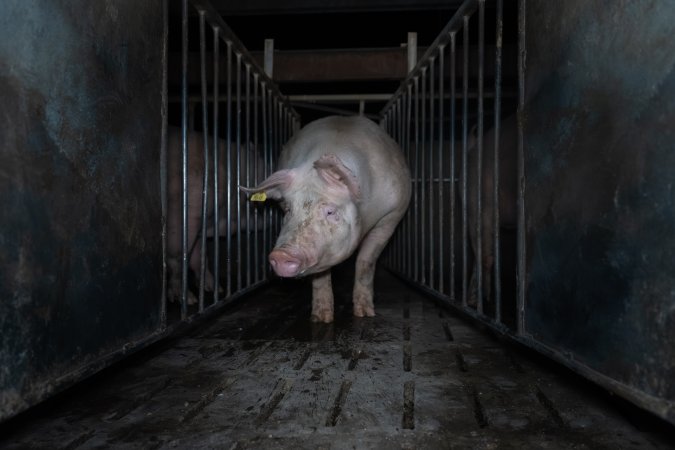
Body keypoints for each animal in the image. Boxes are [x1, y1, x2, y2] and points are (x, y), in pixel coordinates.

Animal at [241, 115, 412, 323]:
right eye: (288, 209)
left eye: (330, 212)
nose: (281, 255)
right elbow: (321, 274)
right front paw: (321, 319)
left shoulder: (392, 215)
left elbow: (366, 262)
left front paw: (365, 314)